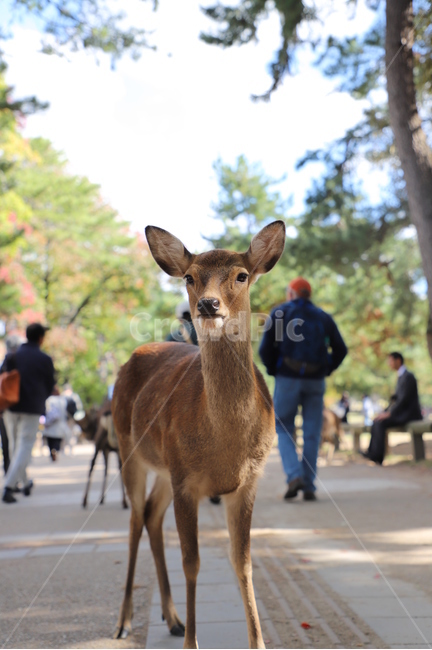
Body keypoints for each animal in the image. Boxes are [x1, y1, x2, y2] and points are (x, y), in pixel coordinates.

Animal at [112, 221, 286, 649]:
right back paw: (125, 622)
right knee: (135, 520)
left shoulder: (247, 481)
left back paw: (171, 618)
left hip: (163, 467)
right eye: (190, 277)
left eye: (241, 275)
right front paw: (193, 640)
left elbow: (243, 562)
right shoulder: (186, 482)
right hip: (128, 448)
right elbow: (192, 562)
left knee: (151, 516)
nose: (208, 305)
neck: (226, 446)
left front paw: (258, 642)